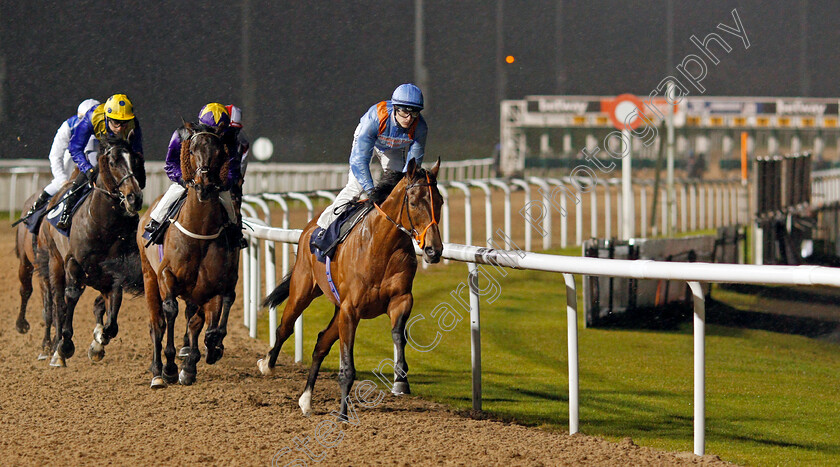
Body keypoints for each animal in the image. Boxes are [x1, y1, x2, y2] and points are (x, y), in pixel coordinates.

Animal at [39, 133, 146, 368]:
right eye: (113, 162)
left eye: (135, 160)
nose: (134, 198)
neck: (102, 225)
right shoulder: (73, 264)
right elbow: (69, 299)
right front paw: (64, 346)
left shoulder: (114, 274)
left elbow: (111, 322)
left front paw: (97, 343)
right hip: (55, 261)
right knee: (58, 302)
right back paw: (56, 351)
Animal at [136, 122, 238, 390]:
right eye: (191, 149)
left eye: (220, 152)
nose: (204, 185)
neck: (198, 233)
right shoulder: (166, 276)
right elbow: (170, 311)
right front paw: (170, 367)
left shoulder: (211, 286)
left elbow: (204, 322)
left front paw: (194, 362)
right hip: (148, 275)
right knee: (156, 323)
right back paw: (157, 372)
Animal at [256, 158, 442, 420]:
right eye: (414, 202)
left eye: (440, 201)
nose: (434, 250)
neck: (380, 247)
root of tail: (310, 227)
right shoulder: (351, 310)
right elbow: (347, 366)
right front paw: (343, 414)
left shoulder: (401, 299)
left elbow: (398, 333)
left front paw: (401, 379)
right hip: (303, 290)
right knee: (285, 328)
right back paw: (268, 364)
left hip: (337, 308)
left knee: (321, 343)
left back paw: (306, 399)